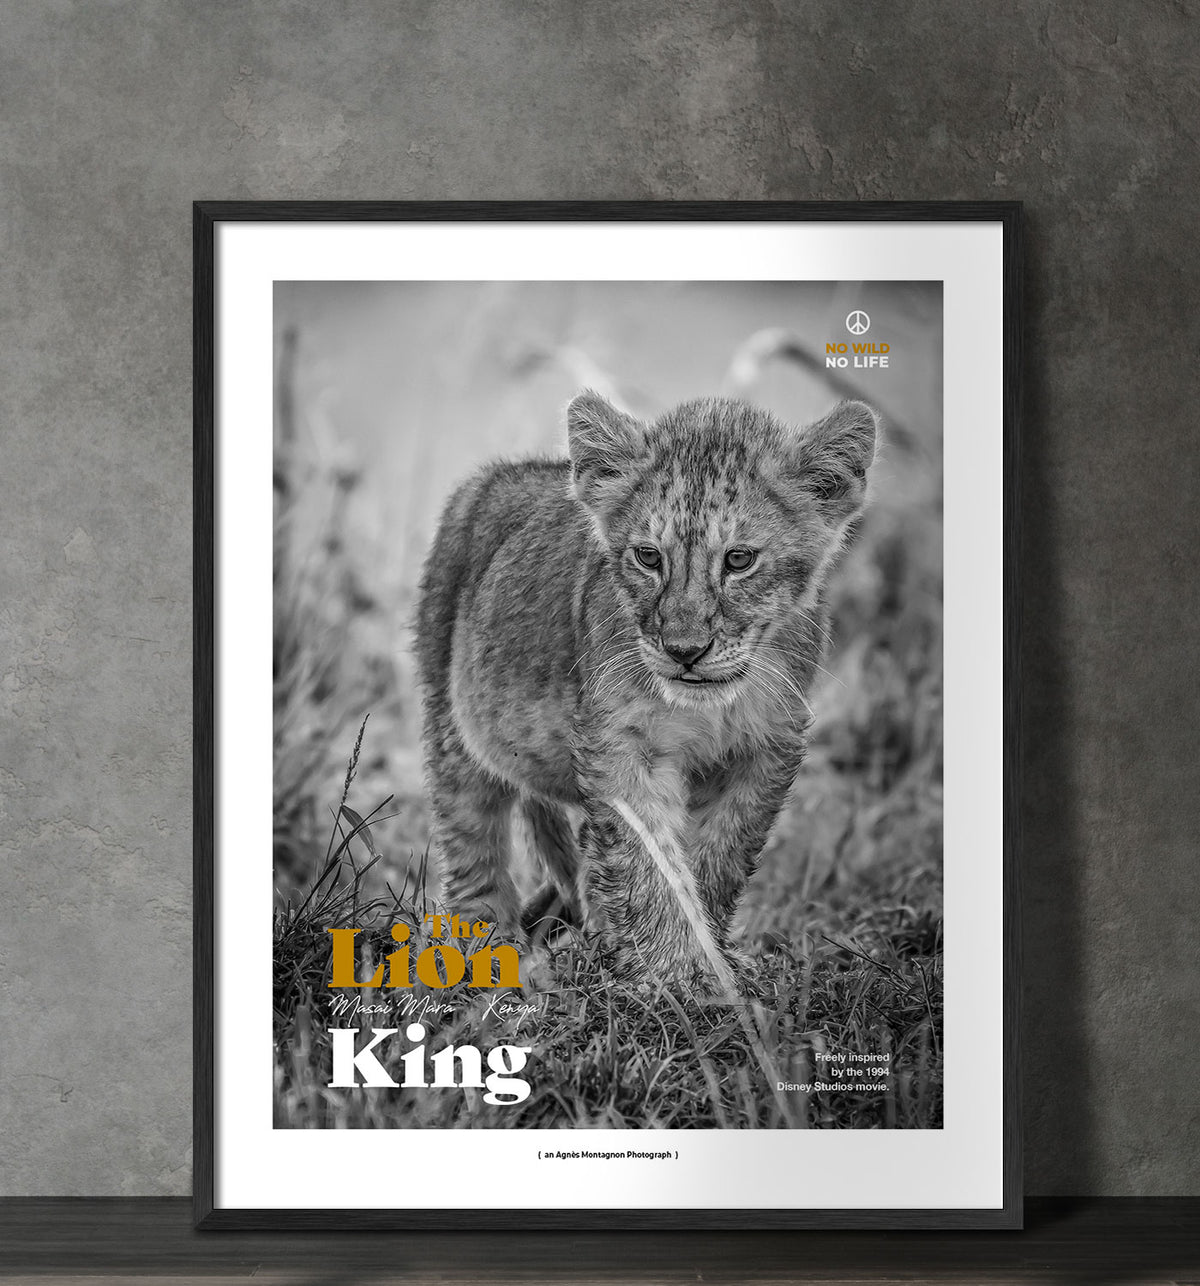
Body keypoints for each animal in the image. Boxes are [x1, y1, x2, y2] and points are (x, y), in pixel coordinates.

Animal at [413, 391, 877, 985]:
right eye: (649, 557)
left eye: (739, 559)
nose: (684, 650)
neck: (709, 707)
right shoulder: (618, 742)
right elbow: (648, 861)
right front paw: (674, 971)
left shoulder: (766, 747)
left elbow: (718, 857)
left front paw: (707, 958)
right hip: (451, 719)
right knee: (473, 839)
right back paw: (485, 950)